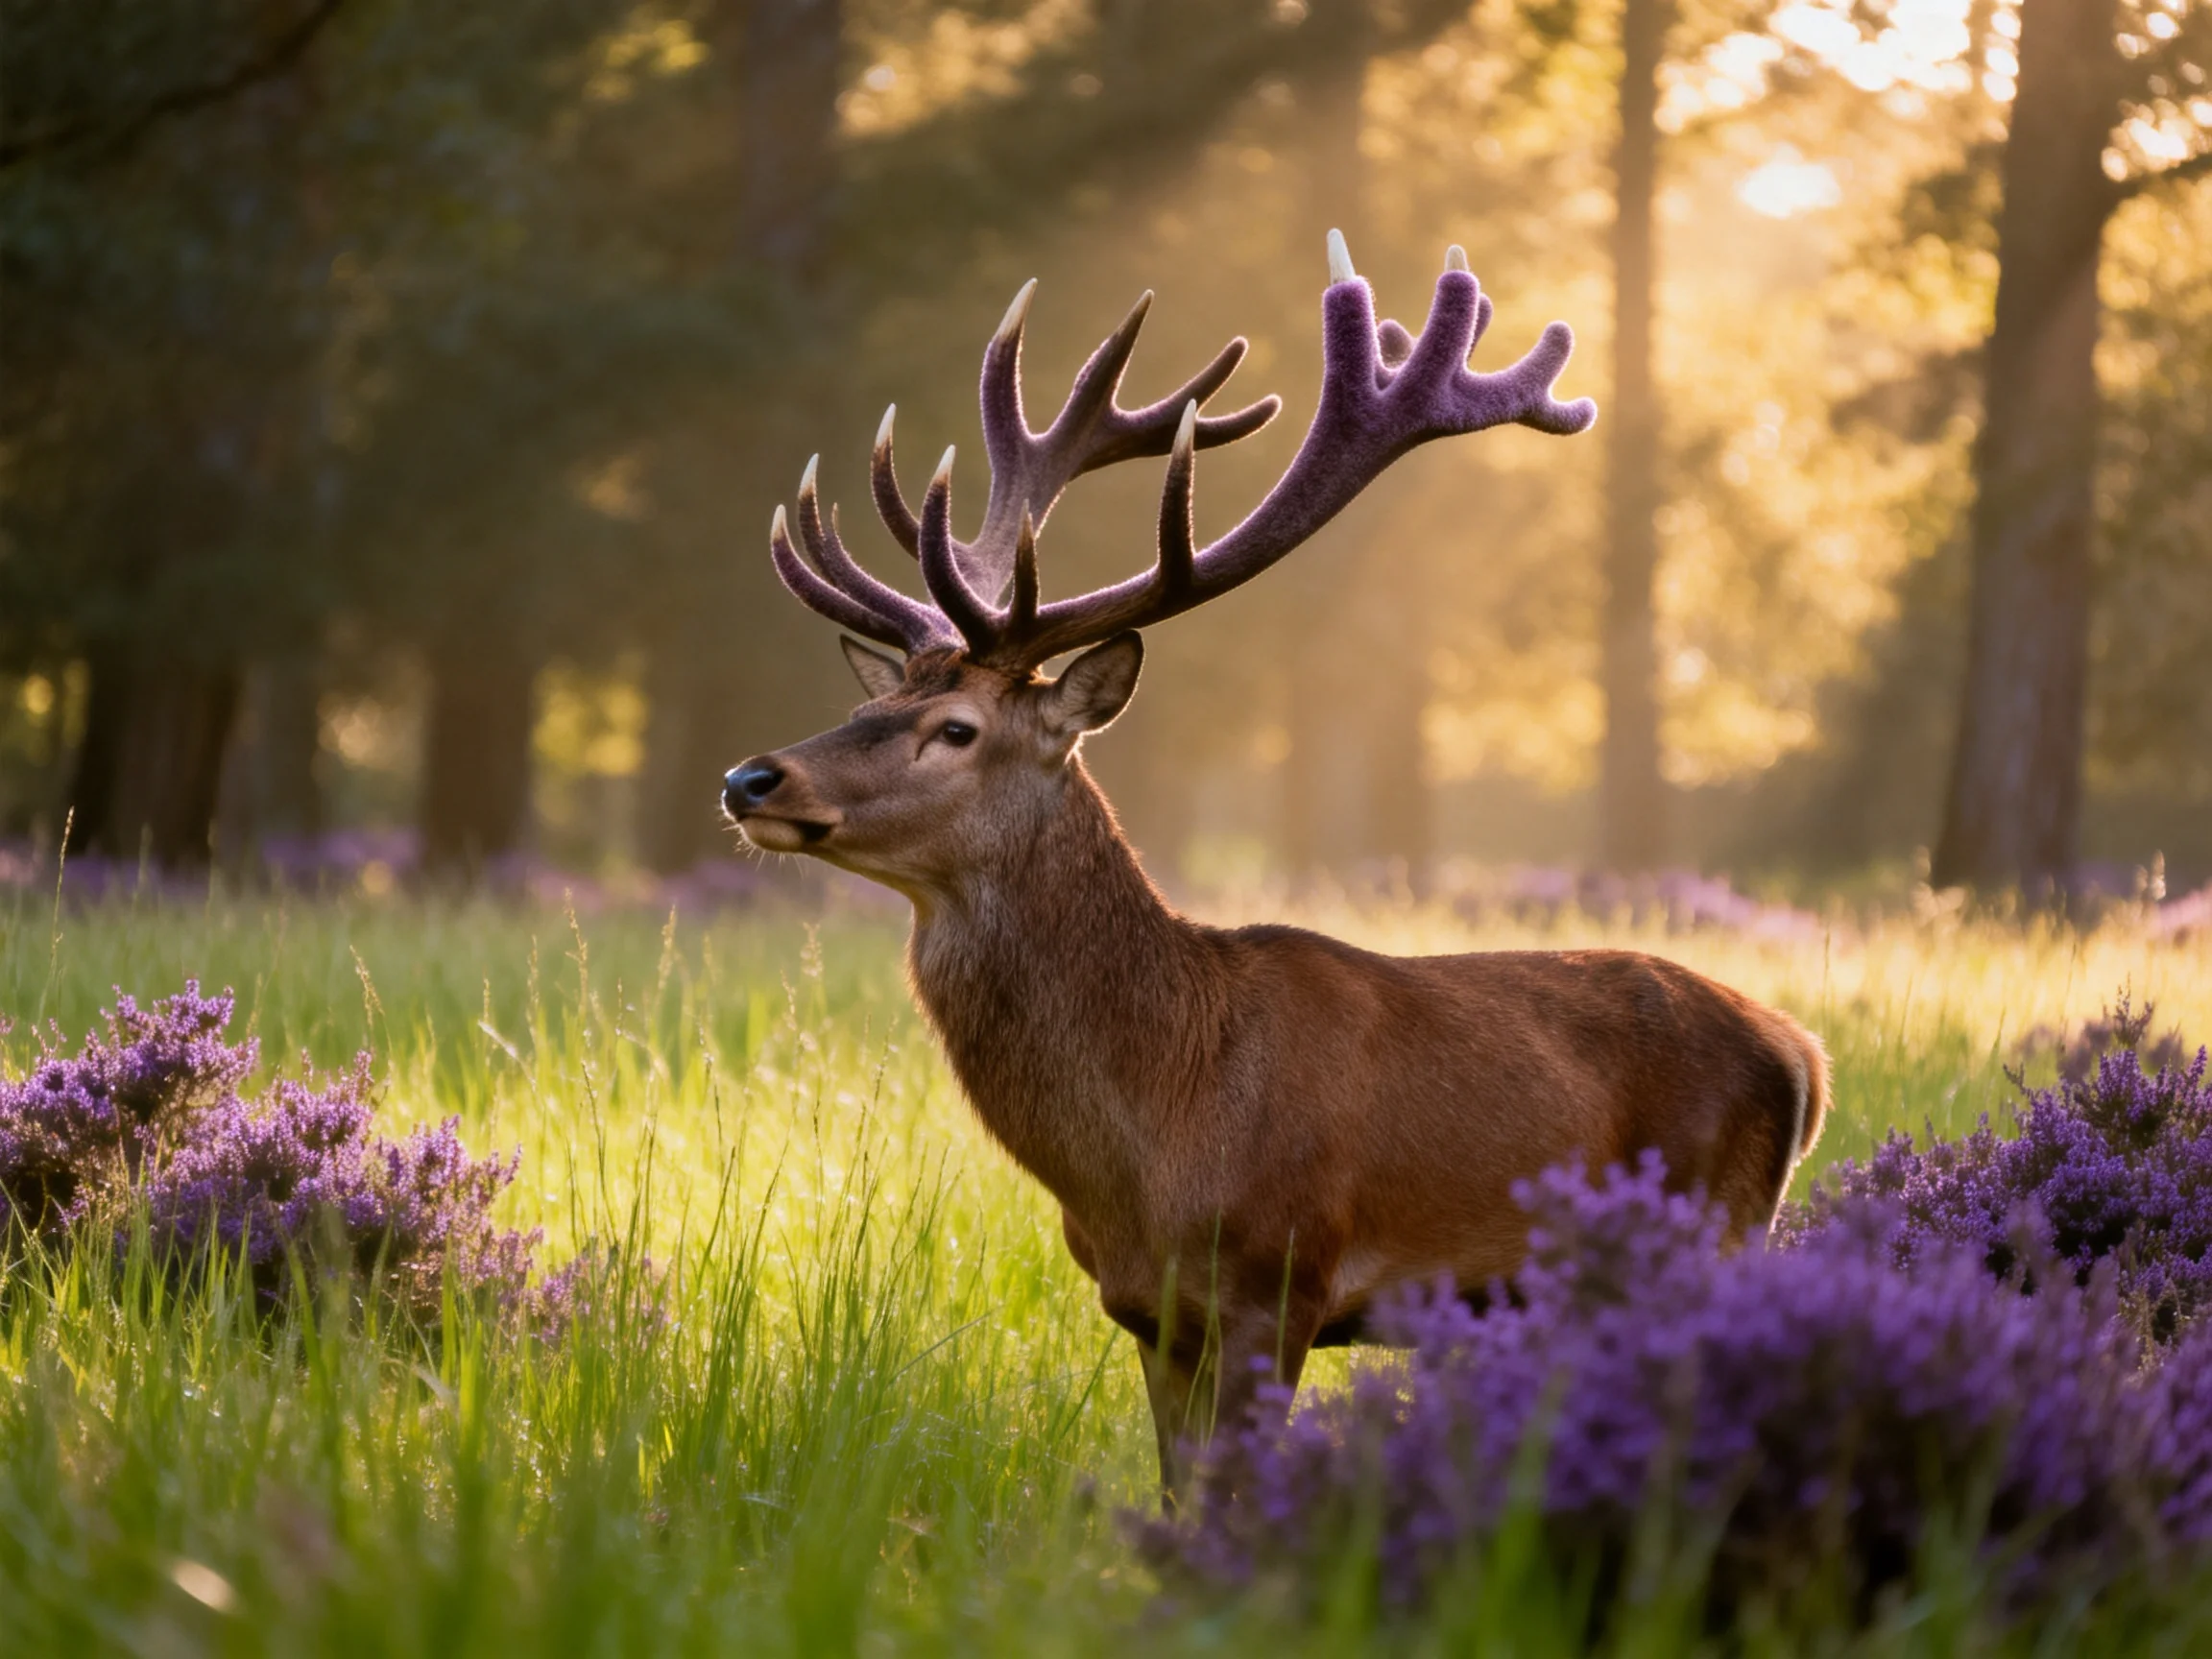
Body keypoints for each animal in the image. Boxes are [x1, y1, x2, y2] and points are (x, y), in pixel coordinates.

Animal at [722, 232, 1830, 1494]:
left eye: (955, 728)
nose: (753, 779)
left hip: (1715, 1222)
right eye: (876, 702)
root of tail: (1803, 1055)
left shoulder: (1282, 1274)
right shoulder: (1144, 1310)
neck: (1161, 1129)